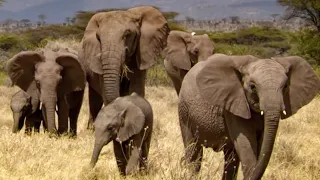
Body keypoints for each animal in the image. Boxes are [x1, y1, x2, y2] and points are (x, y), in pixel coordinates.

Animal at [178, 54, 320, 180]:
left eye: (285, 86)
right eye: (253, 87)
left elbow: (261, 146)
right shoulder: (233, 106)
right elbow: (246, 146)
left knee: (231, 158)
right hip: (184, 111)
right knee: (193, 152)